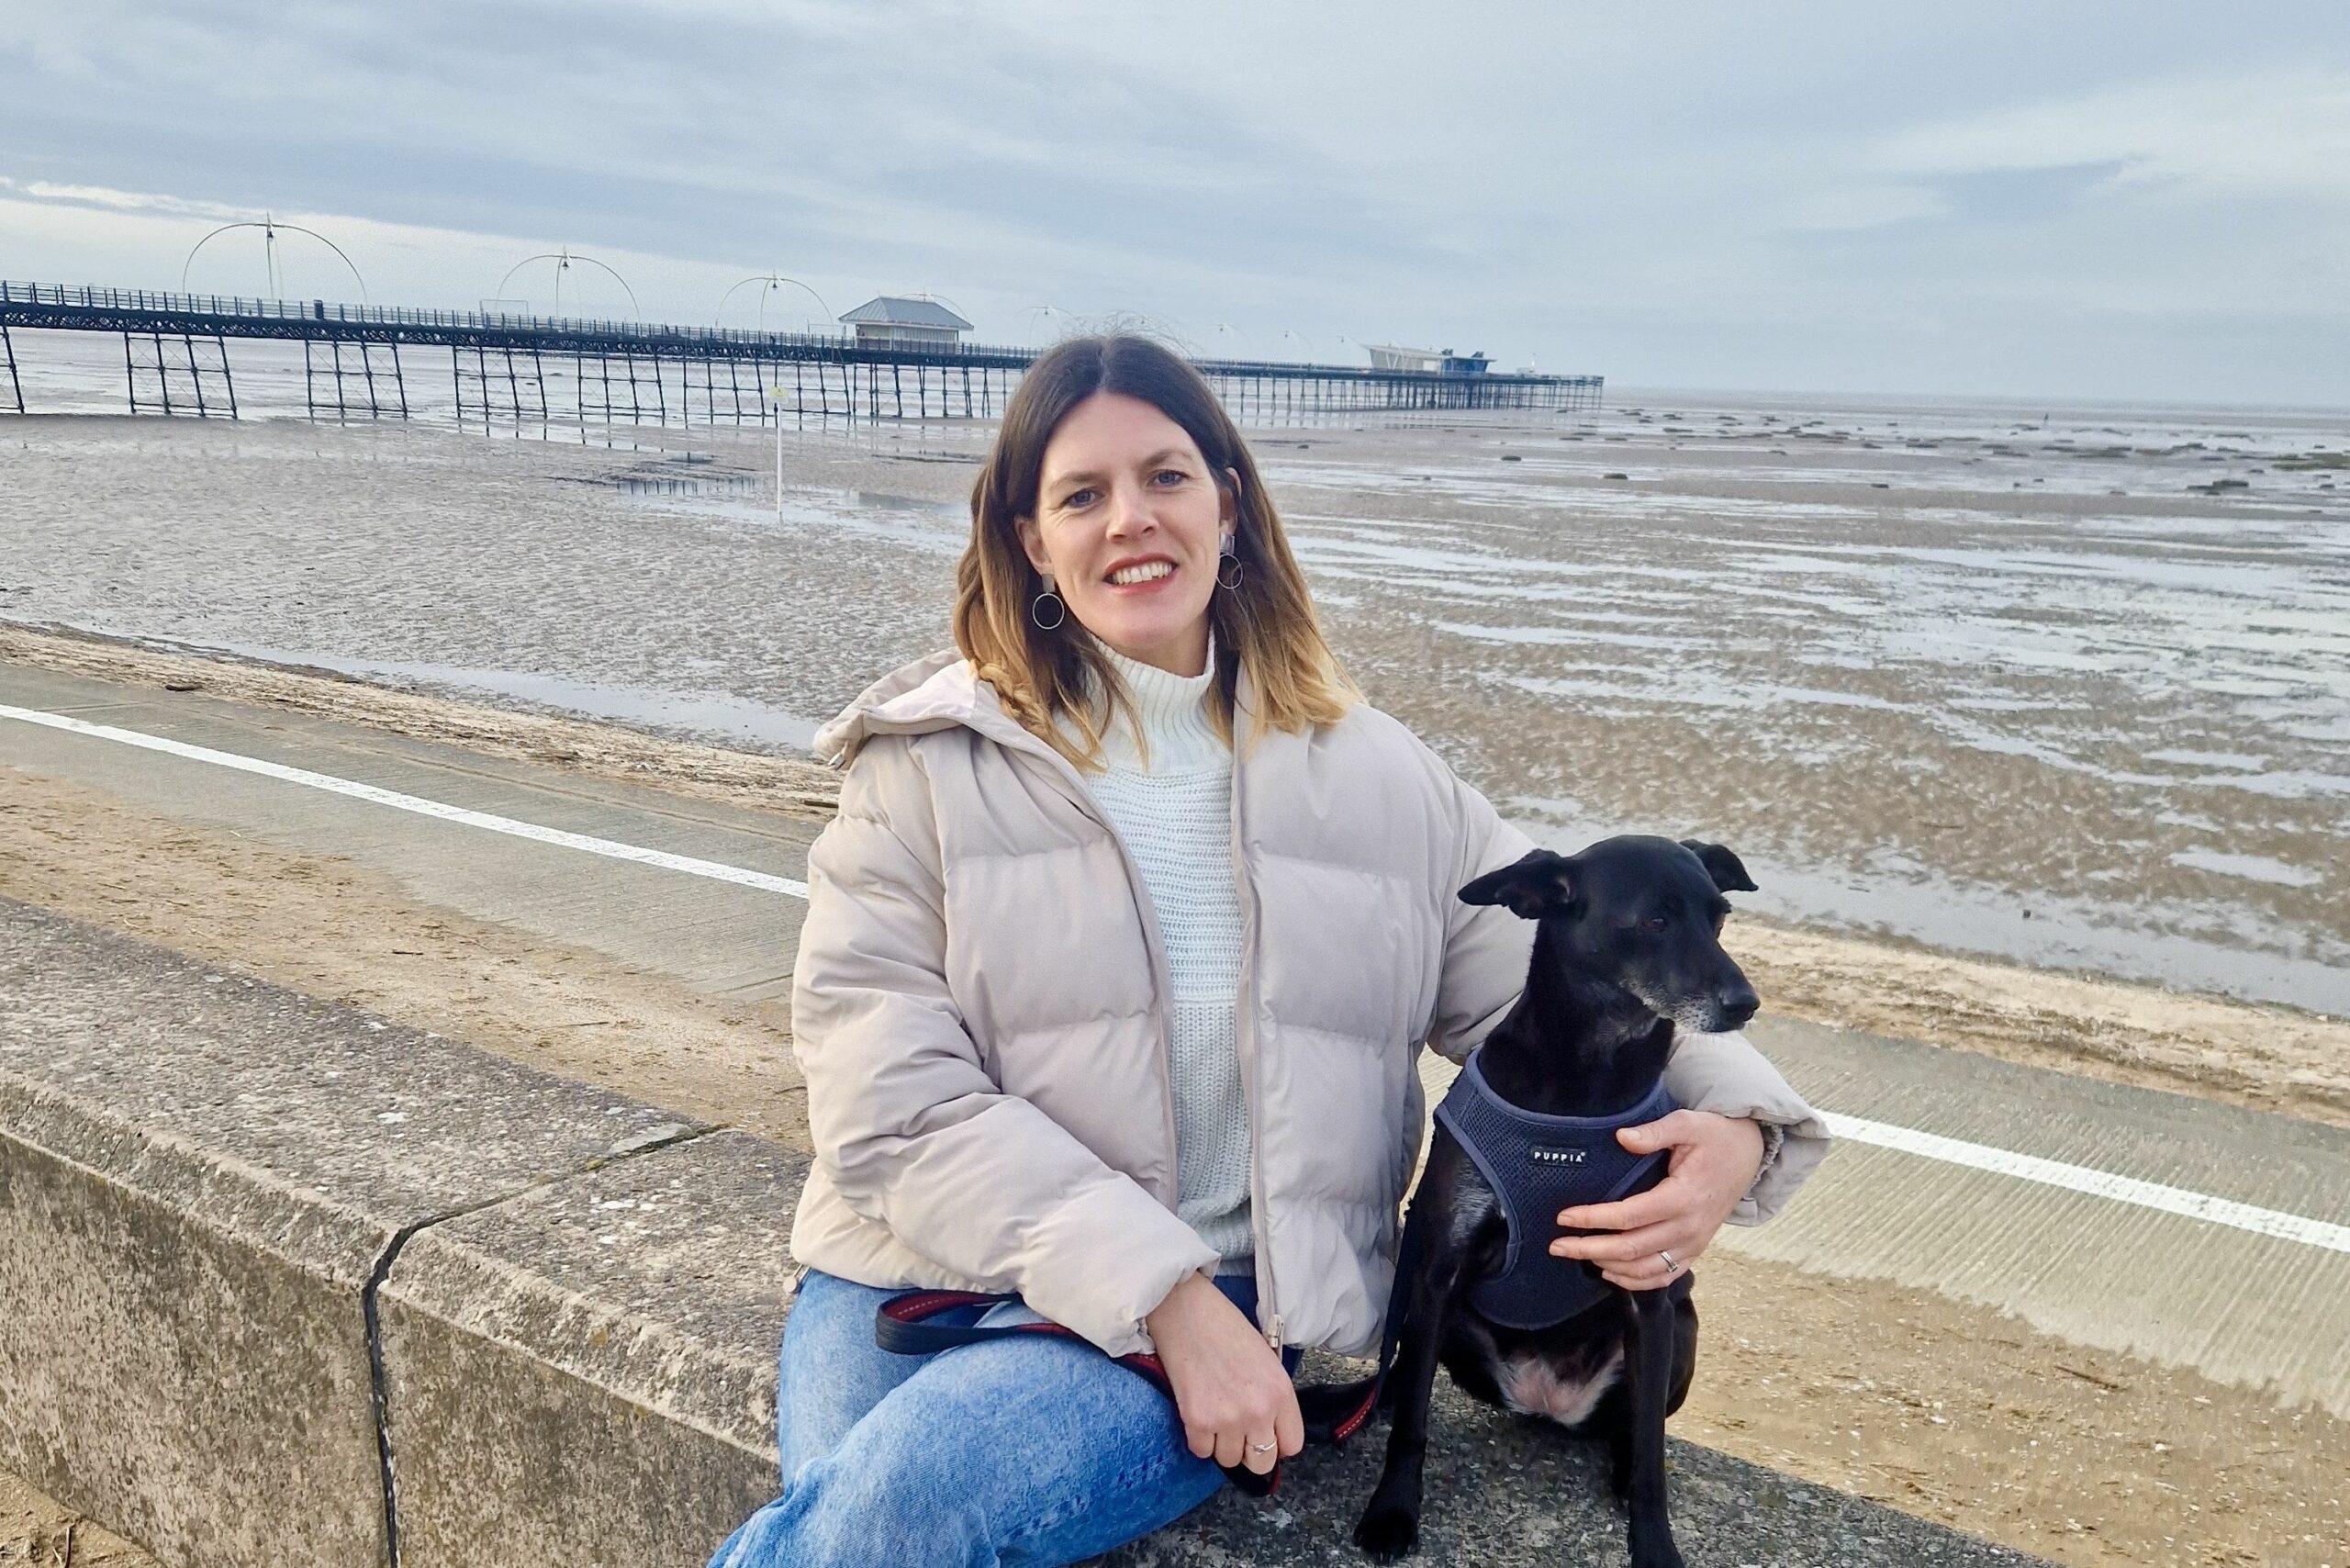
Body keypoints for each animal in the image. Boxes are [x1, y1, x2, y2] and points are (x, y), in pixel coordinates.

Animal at [1306, 841, 1767, 1561]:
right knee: (1404, 1374)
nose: (1745, 1003)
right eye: (1655, 921)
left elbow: (1652, 1456)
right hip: (1432, 1313)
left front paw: (1655, 1546)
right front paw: (1392, 1512)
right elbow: (1412, 1420)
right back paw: (1353, 1404)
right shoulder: (1440, 1267)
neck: (1583, 1081)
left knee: (1632, 1428)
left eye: (1719, 917)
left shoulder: (1647, 1289)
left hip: (1680, 1328)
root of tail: (1548, 1400)